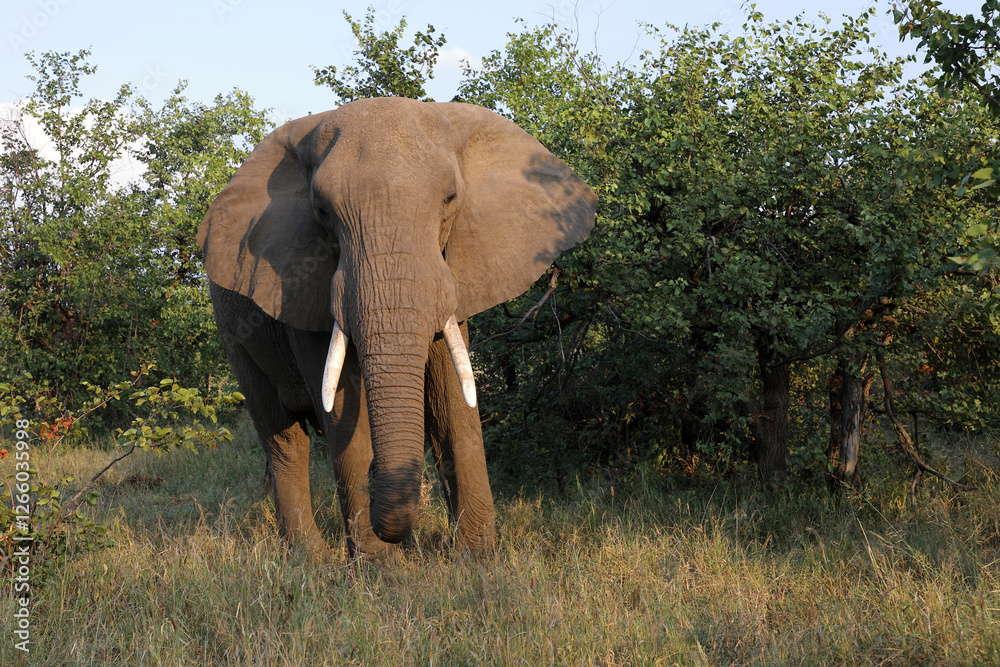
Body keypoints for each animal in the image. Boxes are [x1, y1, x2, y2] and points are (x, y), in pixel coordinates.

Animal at [197, 97, 596, 557]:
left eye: (450, 199)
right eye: (322, 213)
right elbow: (344, 418)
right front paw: (380, 568)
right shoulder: (299, 288)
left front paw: (477, 559)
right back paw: (309, 558)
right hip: (234, 336)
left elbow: (454, 407)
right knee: (284, 441)